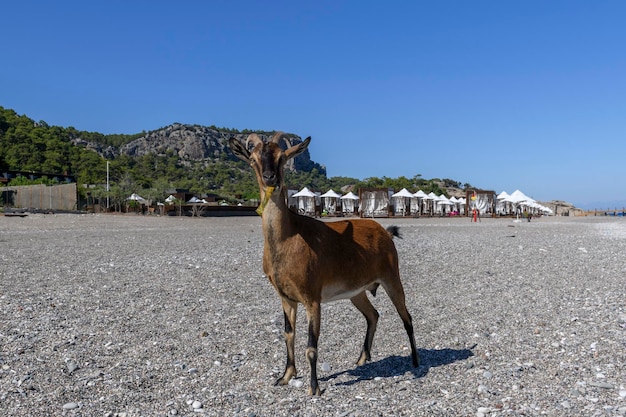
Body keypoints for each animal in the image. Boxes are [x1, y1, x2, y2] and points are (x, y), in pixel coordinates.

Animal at [229, 132, 420, 394]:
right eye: (253, 159)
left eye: (282, 157)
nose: (270, 178)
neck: (289, 238)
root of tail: (386, 232)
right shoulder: (286, 297)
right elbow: (288, 334)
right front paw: (285, 376)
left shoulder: (312, 297)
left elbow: (311, 346)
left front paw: (314, 388)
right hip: (357, 291)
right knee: (373, 315)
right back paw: (362, 359)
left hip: (392, 277)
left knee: (406, 317)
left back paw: (416, 361)